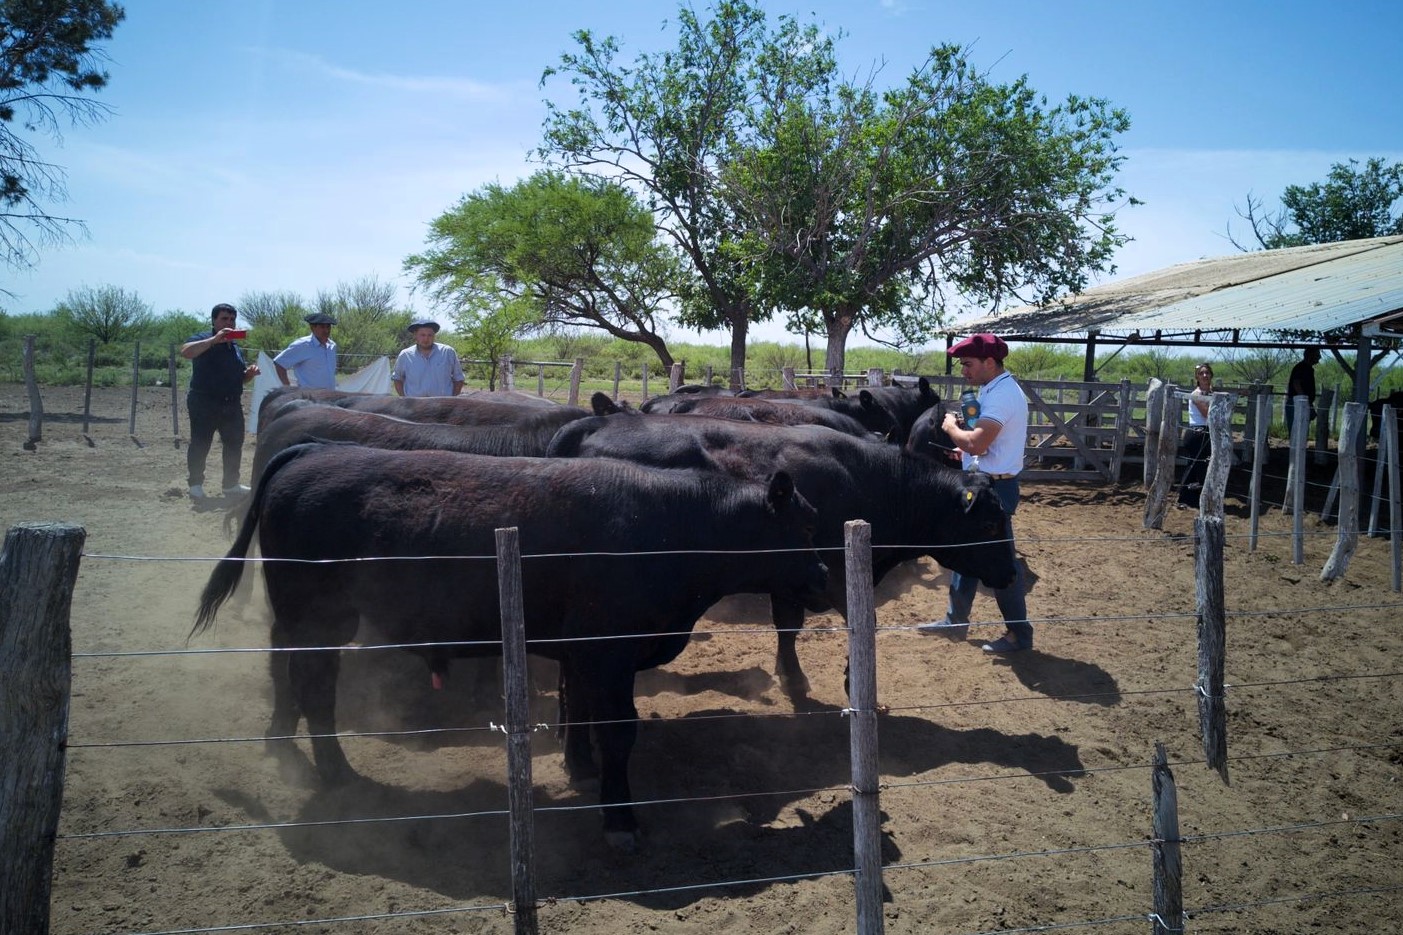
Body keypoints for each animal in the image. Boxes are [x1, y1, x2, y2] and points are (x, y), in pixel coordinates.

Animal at [192, 443, 824, 842]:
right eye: (802, 527)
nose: (824, 577)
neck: (673, 528)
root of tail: (309, 451)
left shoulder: (585, 654)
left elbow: (581, 711)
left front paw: (582, 769)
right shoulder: (609, 652)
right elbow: (618, 730)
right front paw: (620, 819)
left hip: (312, 621)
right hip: (318, 620)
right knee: (314, 687)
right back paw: (335, 773)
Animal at [541, 412, 1015, 699]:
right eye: (991, 526)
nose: (1011, 575)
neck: (871, 480)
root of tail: (594, 421)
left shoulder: (796, 576)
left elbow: (788, 627)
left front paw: (793, 677)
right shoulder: (834, 575)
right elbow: (858, 622)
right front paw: (853, 683)